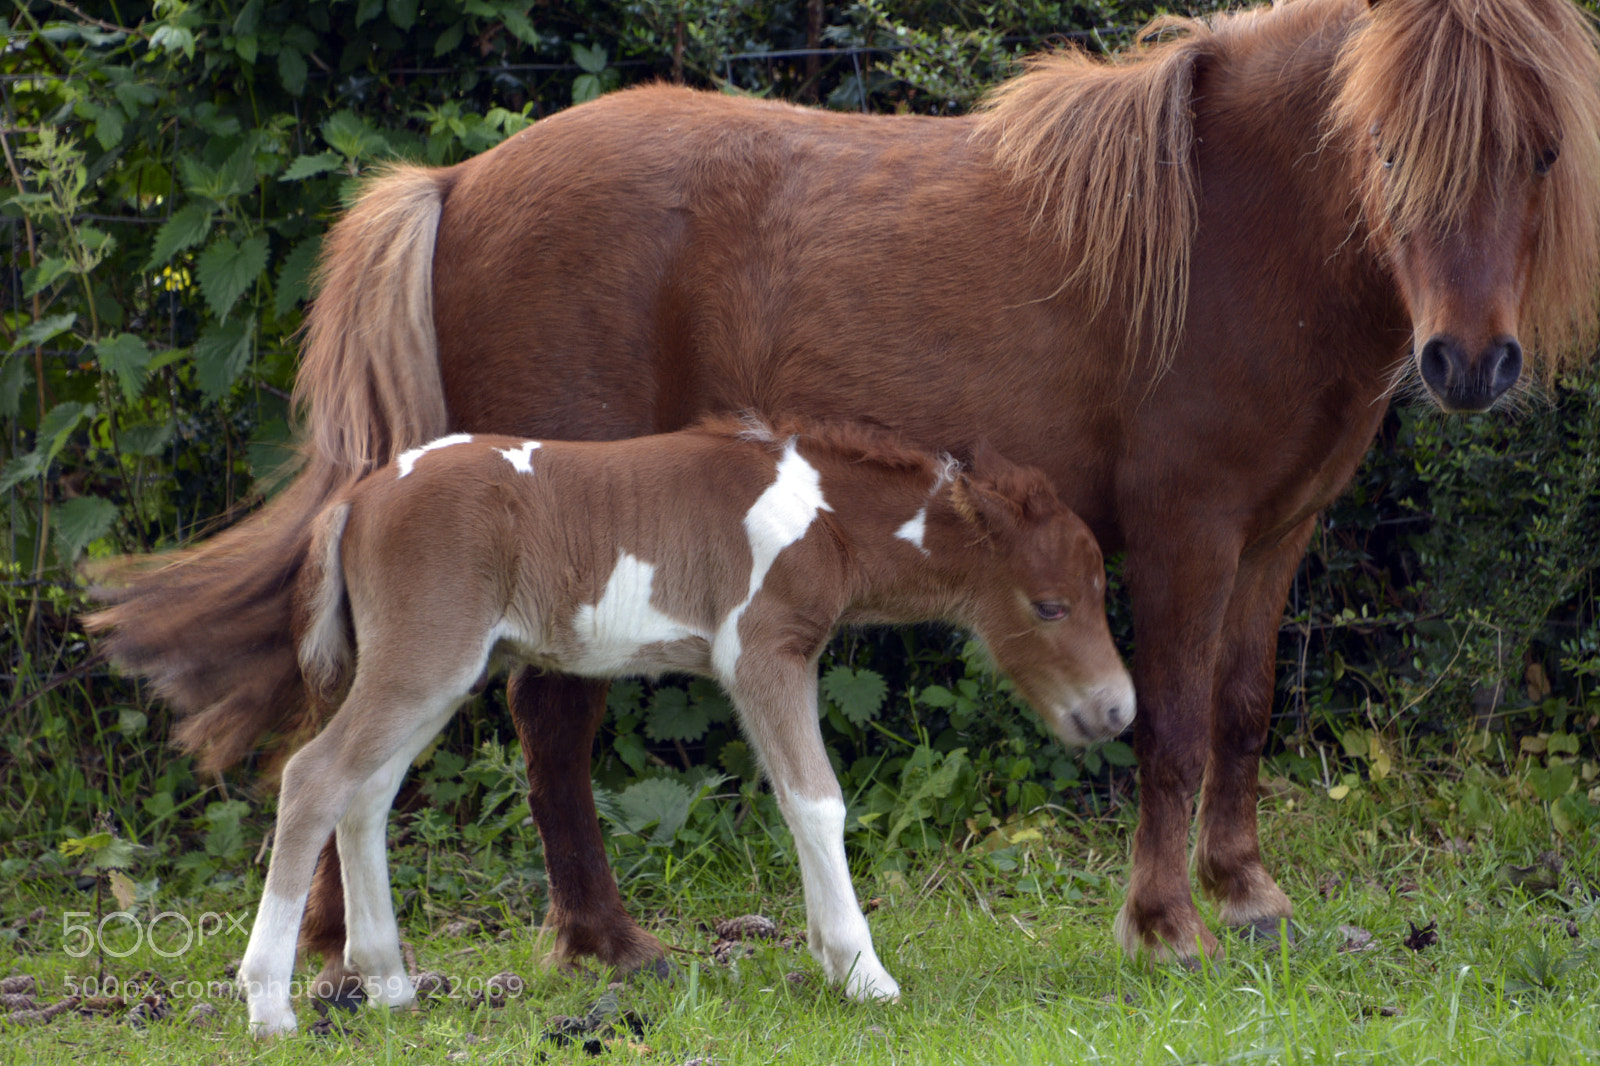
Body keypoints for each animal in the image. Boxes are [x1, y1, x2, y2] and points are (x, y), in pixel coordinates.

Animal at [229, 418, 1130, 1034]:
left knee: (365, 794)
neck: (824, 516)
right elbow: (818, 801)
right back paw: (269, 1007)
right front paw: (863, 972)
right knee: (315, 777)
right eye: (1050, 606)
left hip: (434, 674)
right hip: (425, 657)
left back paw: (389, 983)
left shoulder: (778, 661)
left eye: (1097, 592)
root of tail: (359, 497)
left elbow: (796, 802)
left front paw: (826, 957)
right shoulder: (763, 652)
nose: (1117, 709)